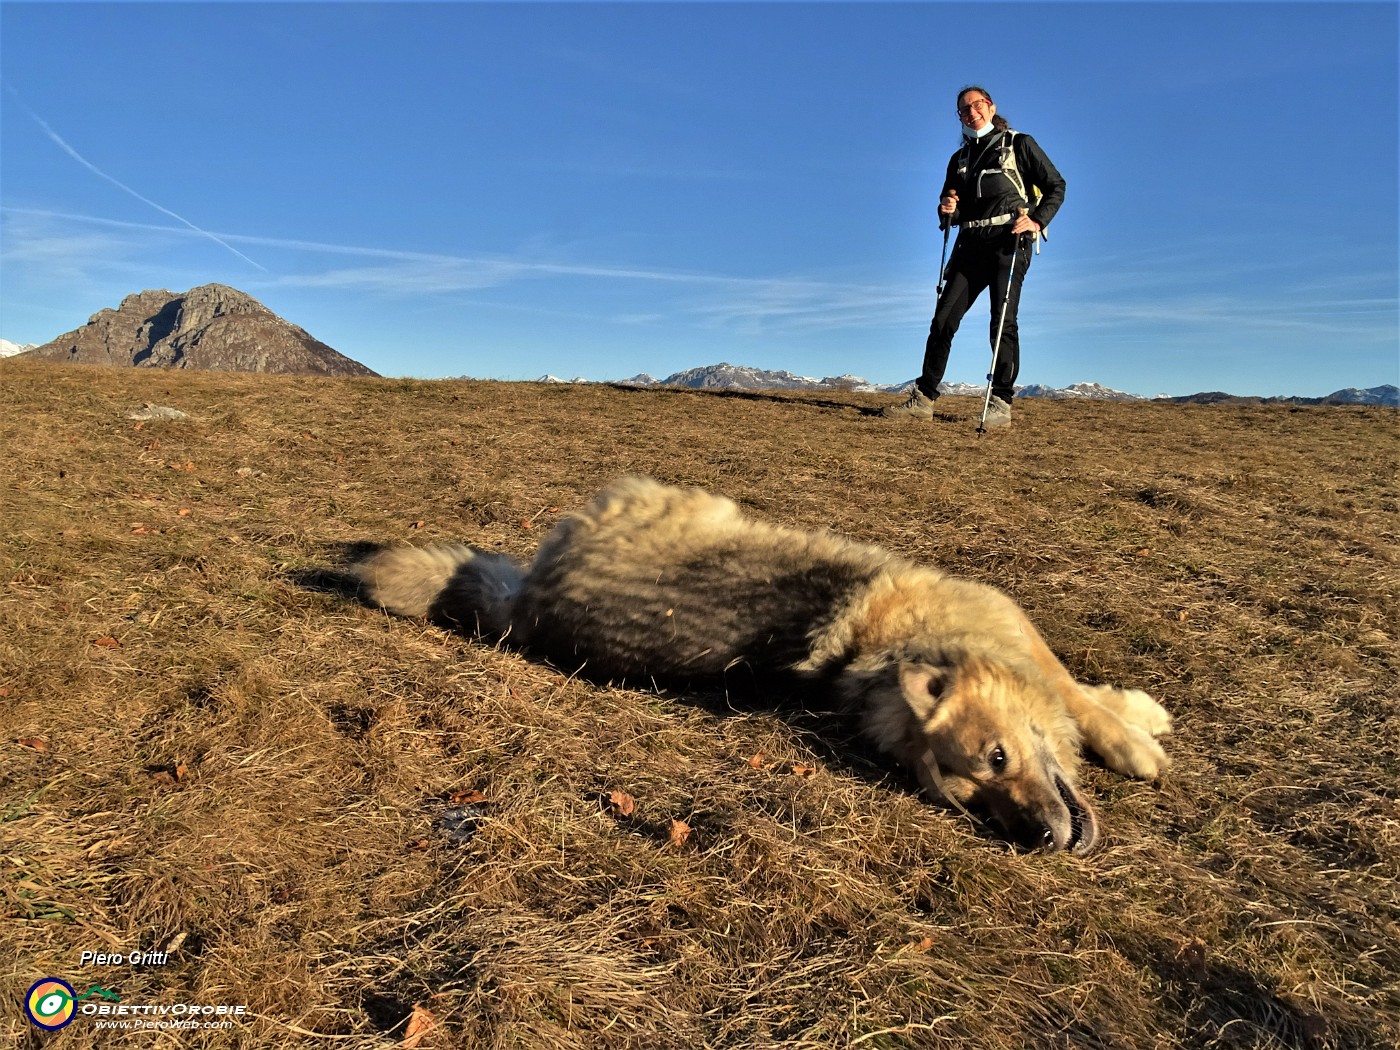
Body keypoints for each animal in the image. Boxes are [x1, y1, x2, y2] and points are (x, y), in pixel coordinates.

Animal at [352, 476, 1170, 856]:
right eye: (975, 796)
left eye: (1000, 762)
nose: (1040, 841)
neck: (883, 654)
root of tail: (527, 602)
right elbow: (1076, 695)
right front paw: (1136, 737)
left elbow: (1076, 692)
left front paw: (1131, 721)